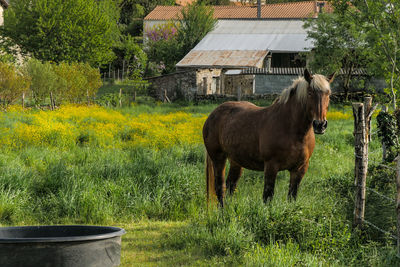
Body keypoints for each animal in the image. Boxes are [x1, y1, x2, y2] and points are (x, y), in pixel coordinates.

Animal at [203, 69, 334, 207]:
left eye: (328, 94)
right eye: (309, 93)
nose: (320, 125)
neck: (291, 129)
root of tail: (213, 114)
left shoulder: (300, 169)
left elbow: (292, 196)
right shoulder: (271, 166)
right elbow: (268, 196)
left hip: (236, 161)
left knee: (230, 185)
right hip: (218, 158)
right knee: (220, 186)